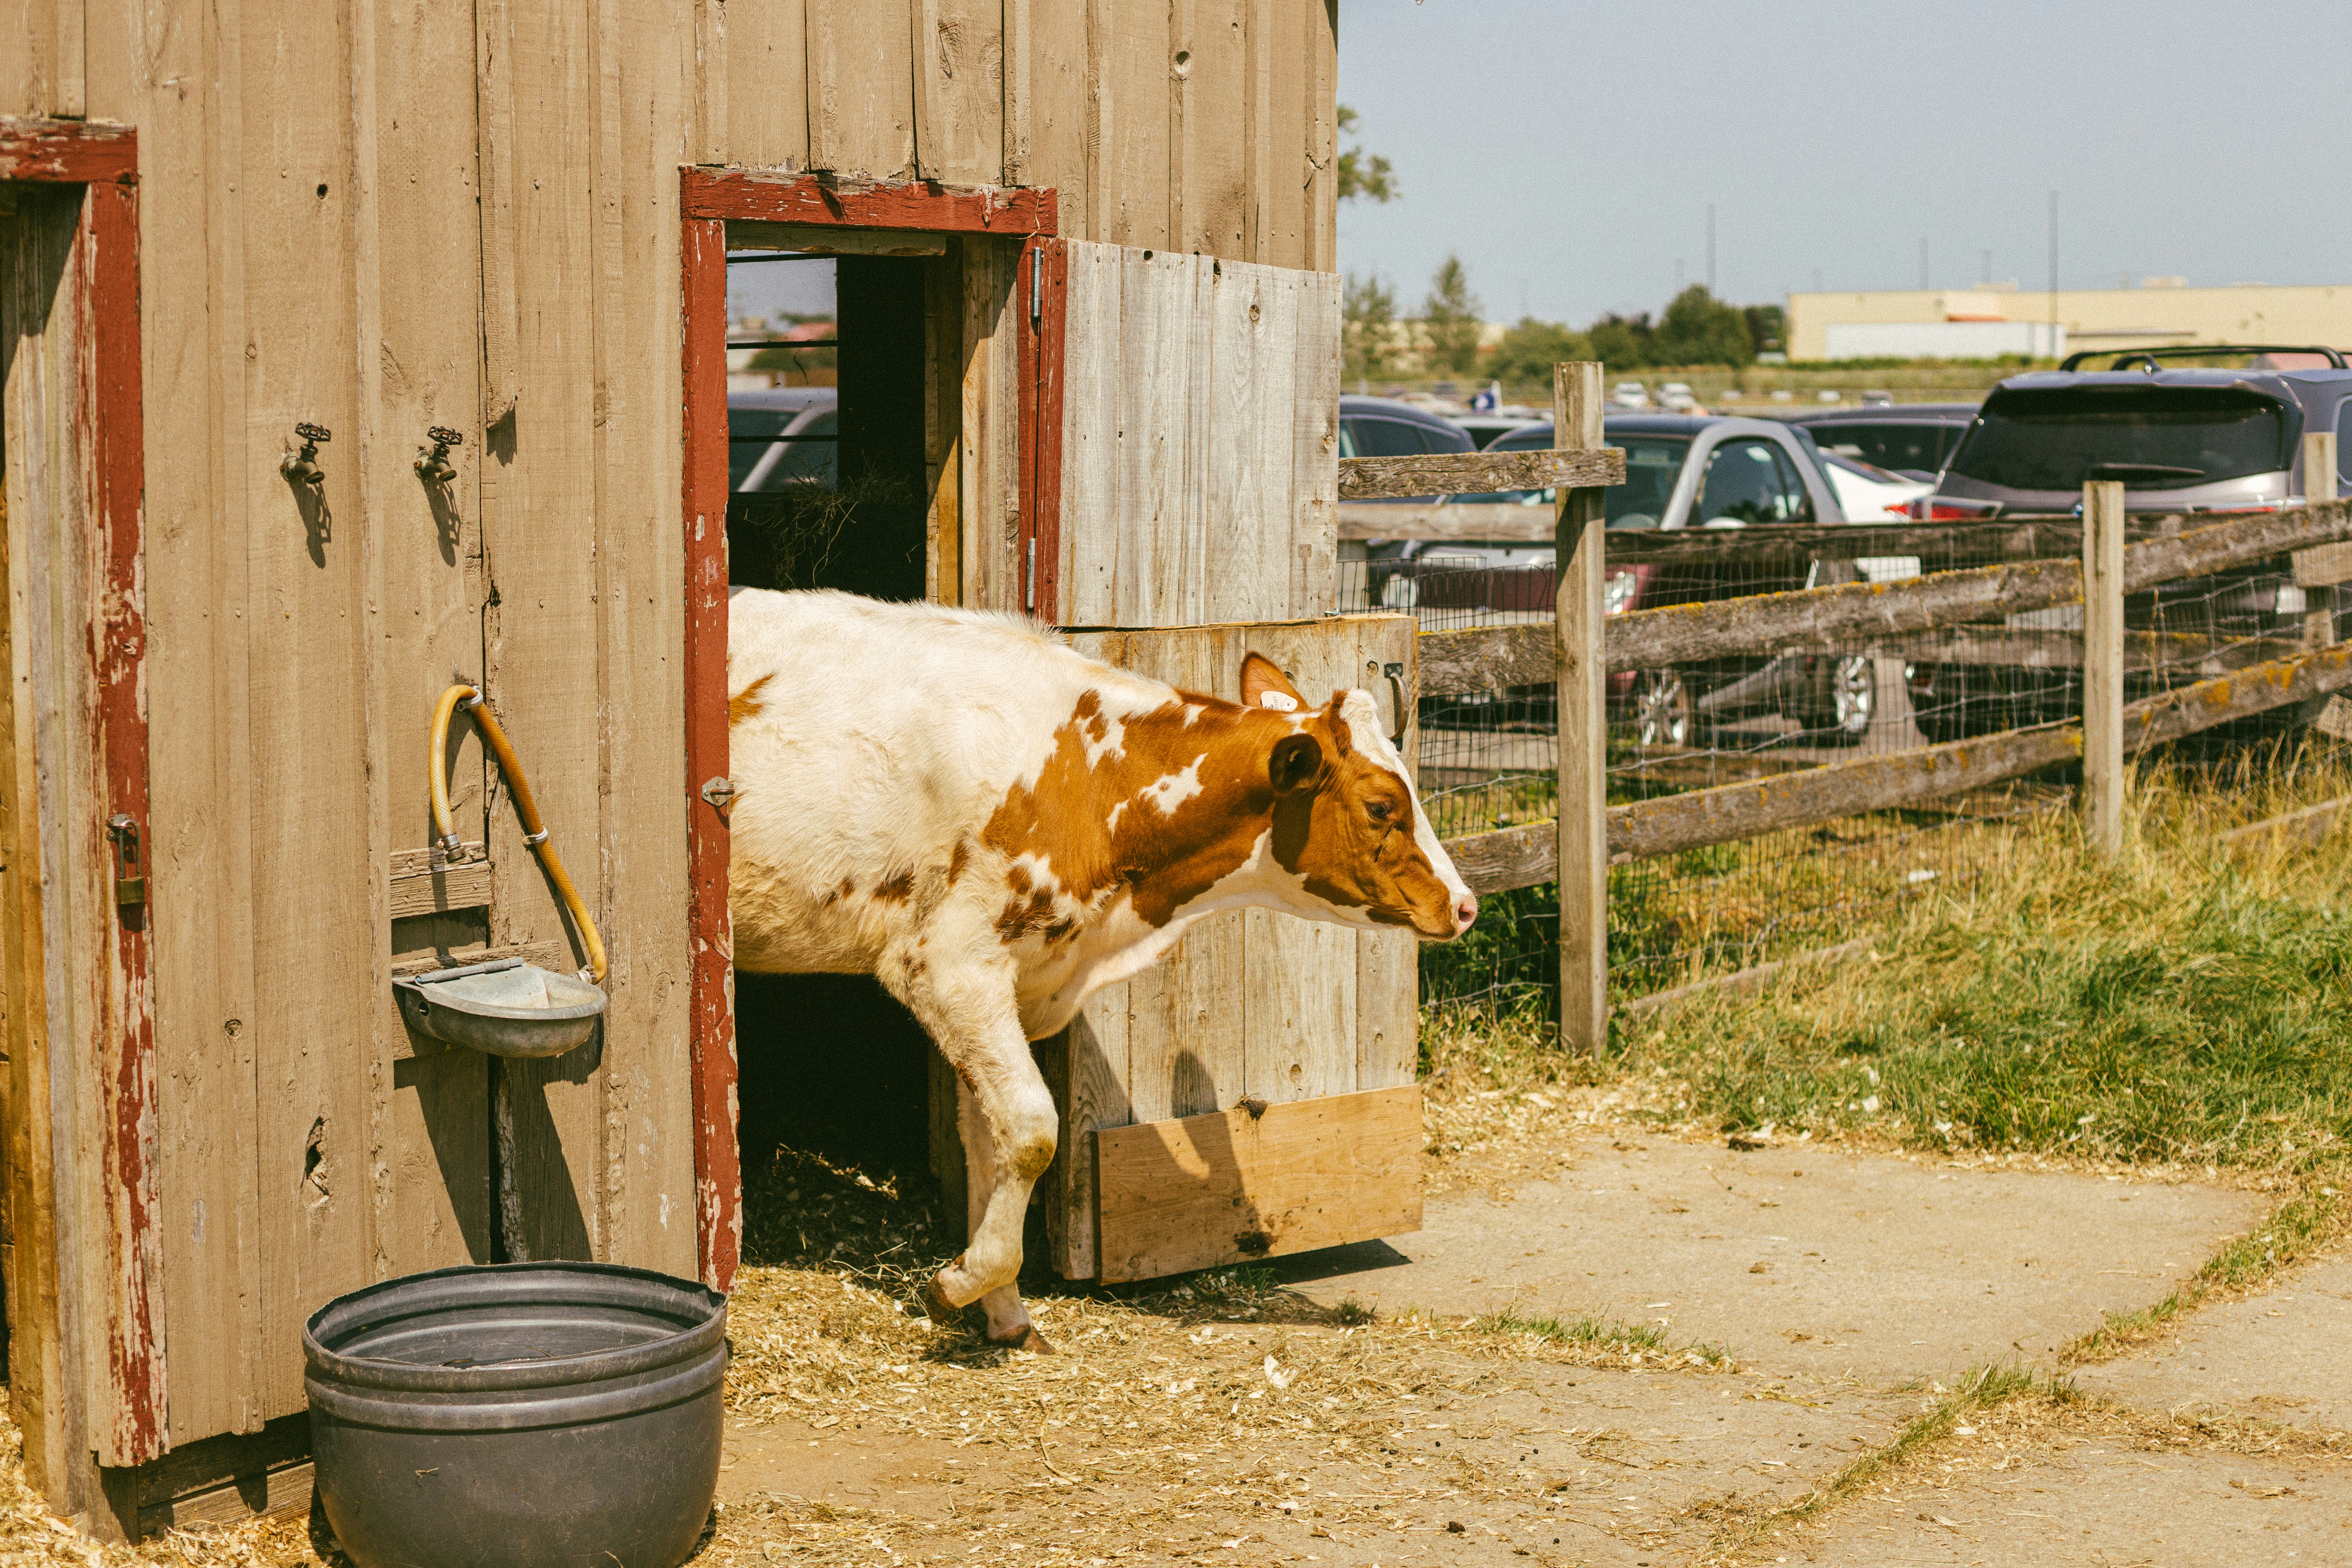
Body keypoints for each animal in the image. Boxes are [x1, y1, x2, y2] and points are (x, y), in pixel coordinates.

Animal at [725, 587, 1477, 1351]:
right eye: (1381, 806)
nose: (1465, 905)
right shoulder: (949, 964)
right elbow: (1033, 1129)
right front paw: (960, 1283)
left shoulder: (1014, 980)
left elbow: (990, 1140)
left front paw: (1003, 1309)